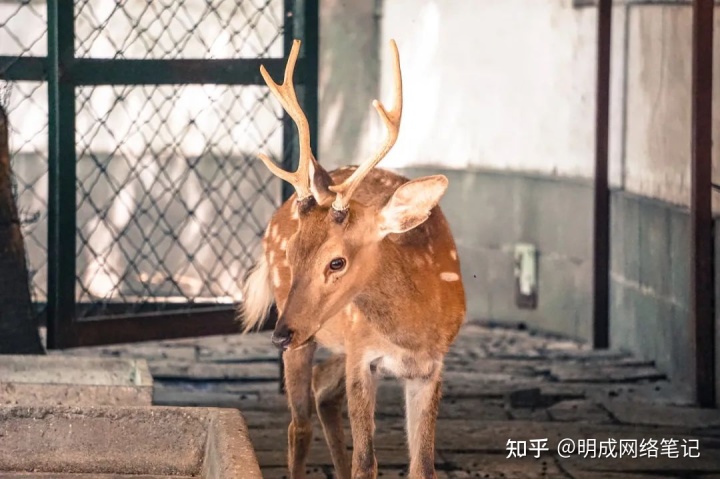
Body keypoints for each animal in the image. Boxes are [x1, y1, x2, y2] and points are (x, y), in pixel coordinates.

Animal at [242, 40, 466, 479]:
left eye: (336, 262)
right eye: (293, 253)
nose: (279, 334)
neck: (411, 332)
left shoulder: (430, 368)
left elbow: (423, 466)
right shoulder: (363, 355)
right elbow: (366, 462)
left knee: (321, 391)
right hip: (309, 336)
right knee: (299, 424)